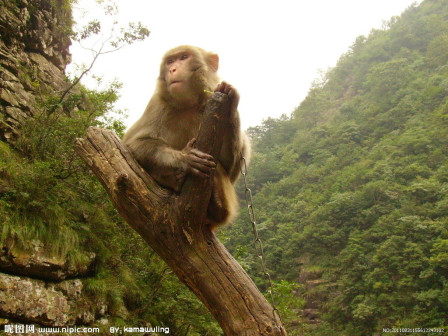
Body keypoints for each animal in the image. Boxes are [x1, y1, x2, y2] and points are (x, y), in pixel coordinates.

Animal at [121, 44, 250, 230]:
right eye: (170, 61)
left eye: (183, 57)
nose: (173, 69)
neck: (189, 104)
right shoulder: (157, 103)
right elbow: (132, 144)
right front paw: (186, 158)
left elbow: (230, 167)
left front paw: (231, 100)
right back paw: (179, 178)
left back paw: (217, 206)